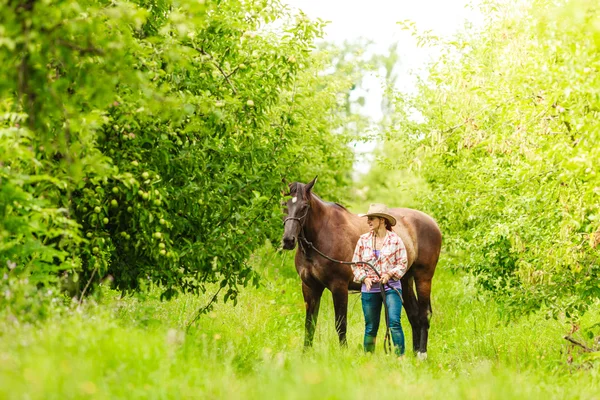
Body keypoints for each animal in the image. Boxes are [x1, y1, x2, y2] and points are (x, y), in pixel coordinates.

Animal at [280, 177, 440, 358]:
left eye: (304, 206)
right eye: (284, 204)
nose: (288, 240)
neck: (321, 236)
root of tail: (432, 222)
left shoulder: (339, 287)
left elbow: (340, 323)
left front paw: (343, 353)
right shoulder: (310, 287)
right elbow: (310, 323)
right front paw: (305, 354)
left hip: (423, 278)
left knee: (424, 314)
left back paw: (422, 354)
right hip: (404, 281)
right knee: (414, 315)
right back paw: (413, 353)